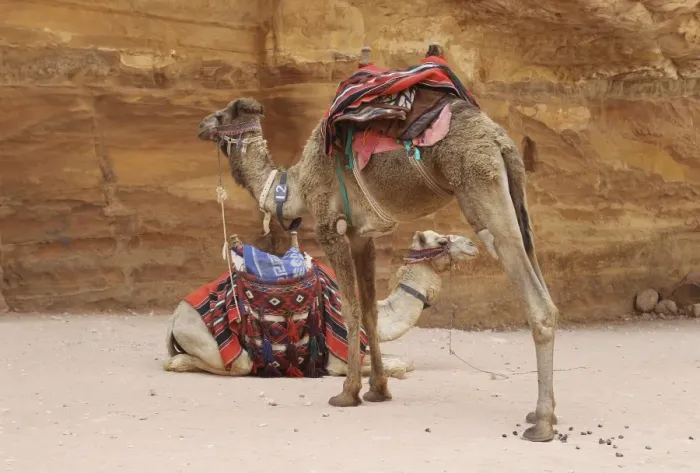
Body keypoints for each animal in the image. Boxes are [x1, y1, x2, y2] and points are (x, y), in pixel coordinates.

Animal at [163, 229, 478, 378]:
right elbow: (398, 366)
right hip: (207, 337)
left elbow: (404, 361)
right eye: (441, 241)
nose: (473, 244)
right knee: (236, 364)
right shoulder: (341, 356)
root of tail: (175, 317)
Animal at [195, 44, 558, 442]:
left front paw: (347, 392)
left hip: (480, 185)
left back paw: (541, 423)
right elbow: (369, 309)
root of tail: (500, 141)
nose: (201, 125)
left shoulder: (330, 228)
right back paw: (544, 413)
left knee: (536, 300)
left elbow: (350, 309)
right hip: (514, 193)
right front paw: (378, 389)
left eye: (221, 114)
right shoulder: (362, 237)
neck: (296, 187)